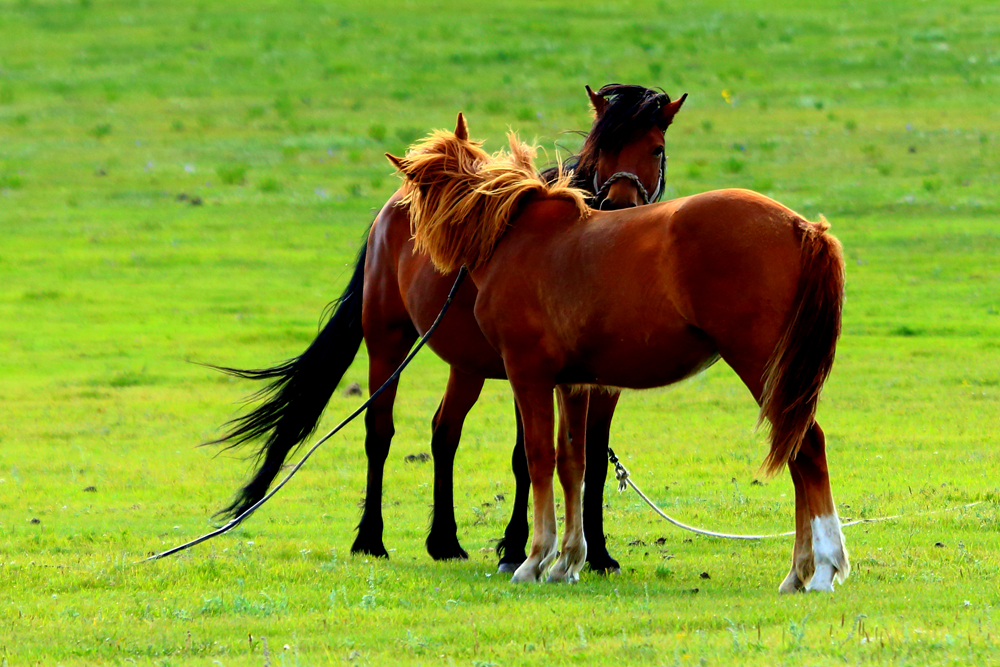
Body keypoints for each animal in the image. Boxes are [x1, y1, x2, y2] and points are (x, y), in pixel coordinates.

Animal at [207, 83, 684, 576]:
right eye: (600, 147)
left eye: (656, 148)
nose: (621, 205)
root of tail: (395, 203)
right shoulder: (529, 369)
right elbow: (525, 456)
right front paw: (514, 548)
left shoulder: (599, 382)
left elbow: (592, 456)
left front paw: (599, 554)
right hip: (388, 341)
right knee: (379, 432)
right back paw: (371, 538)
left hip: (467, 364)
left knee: (444, 432)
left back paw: (444, 541)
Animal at [390, 117, 852, 592]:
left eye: (412, 193)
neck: (514, 236)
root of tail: (799, 226)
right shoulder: (573, 384)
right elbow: (572, 462)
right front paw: (567, 562)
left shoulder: (528, 375)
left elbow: (538, 459)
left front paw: (534, 559)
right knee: (797, 453)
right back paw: (798, 572)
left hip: (763, 366)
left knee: (807, 448)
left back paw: (824, 568)